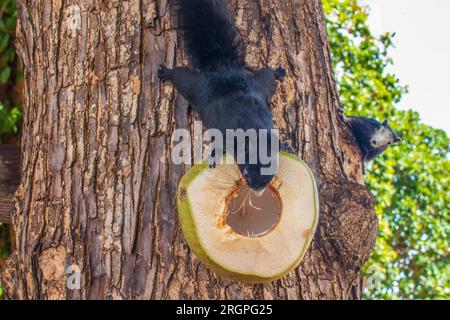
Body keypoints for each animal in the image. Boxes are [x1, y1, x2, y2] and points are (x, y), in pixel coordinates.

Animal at [158, 0, 284, 192]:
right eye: (246, 173)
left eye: (271, 174)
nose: (257, 191)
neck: (254, 134)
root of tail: (223, 67)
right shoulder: (225, 132)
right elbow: (218, 143)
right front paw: (213, 155)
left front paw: (287, 146)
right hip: (195, 87)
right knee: (181, 76)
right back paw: (166, 72)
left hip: (261, 86)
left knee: (267, 74)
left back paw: (278, 72)